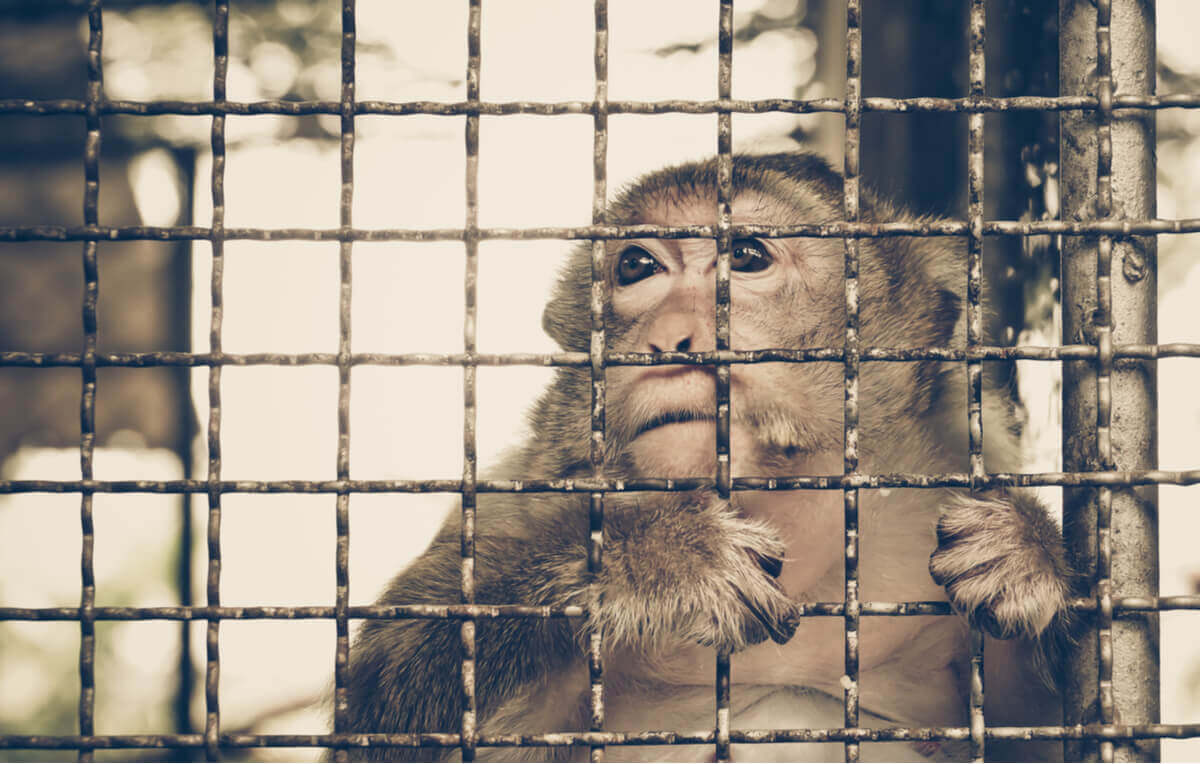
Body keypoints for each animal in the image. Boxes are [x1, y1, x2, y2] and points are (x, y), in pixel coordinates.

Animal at [341, 152, 1073, 762]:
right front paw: (660, 557)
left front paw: (1025, 547)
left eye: (747, 256)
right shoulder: (526, 485)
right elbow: (386, 697)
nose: (668, 338)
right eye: (636, 268)